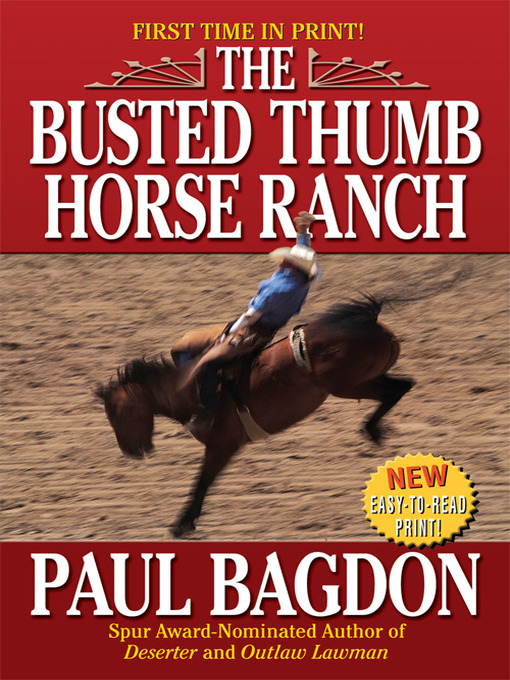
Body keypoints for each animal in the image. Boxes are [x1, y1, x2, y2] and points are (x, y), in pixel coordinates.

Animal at [96, 296, 414, 537]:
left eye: (119, 413)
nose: (130, 451)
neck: (188, 389)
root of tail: (370, 320)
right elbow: (203, 482)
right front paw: (186, 522)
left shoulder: (221, 445)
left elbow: (202, 482)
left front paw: (181, 525)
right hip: (363, 380)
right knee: (402, 386)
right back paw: (374, 430)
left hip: (346, 385)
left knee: (397, 389)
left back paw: (371, 429)